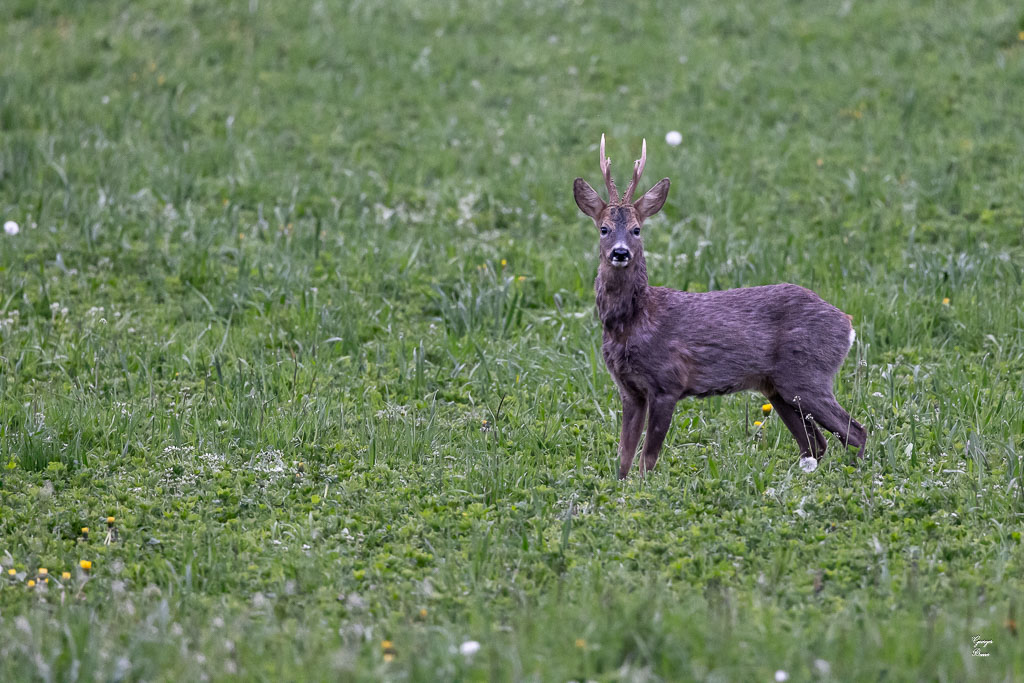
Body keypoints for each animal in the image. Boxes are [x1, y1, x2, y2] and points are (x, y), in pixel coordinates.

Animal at [573, 134, 867, 479]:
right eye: (603, 228)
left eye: (637, 229)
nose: (620, 253)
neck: (633, 322)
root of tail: (847, 324)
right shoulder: (628, 389)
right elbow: (624, 458)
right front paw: (621, 487)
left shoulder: (668, 382)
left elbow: (648, 458)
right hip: (778, 388)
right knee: (815, 444)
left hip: (808, 374)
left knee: (856, 431)